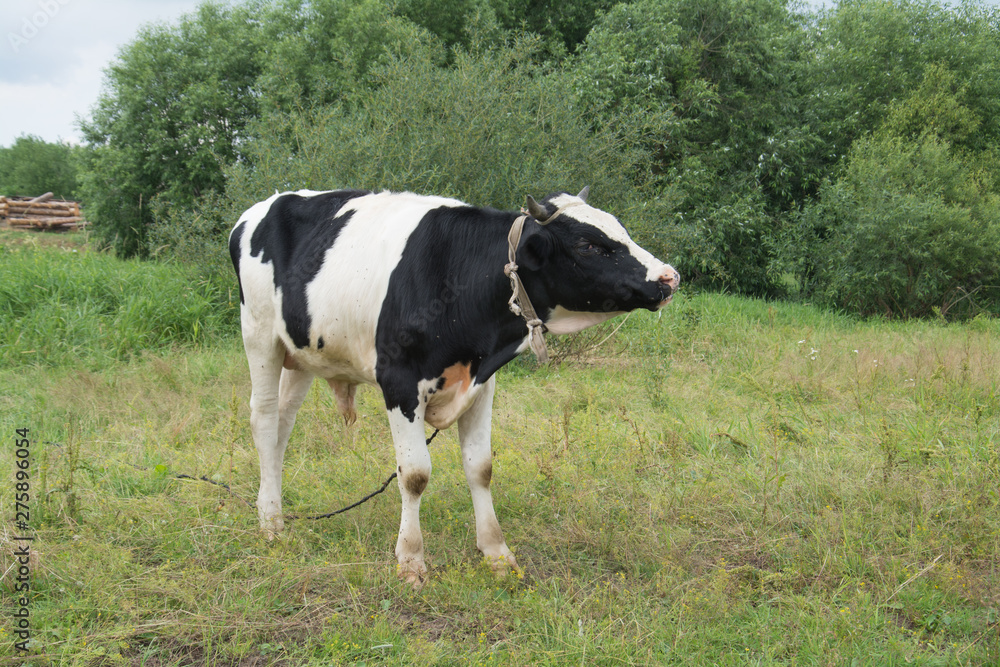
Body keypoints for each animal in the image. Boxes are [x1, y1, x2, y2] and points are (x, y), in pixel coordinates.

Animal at [229, 188, 680, 584]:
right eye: (588, 245)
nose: (669, 277)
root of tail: (263, 205)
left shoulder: (482, 384)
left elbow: (480, 468)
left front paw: (497, 554)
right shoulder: (399, 382)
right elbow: (414, 474)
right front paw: (411, 561)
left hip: (300, 355)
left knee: (283, 427)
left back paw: (274, 509)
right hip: (260, 335)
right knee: (264, 420)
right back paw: (270, 523)